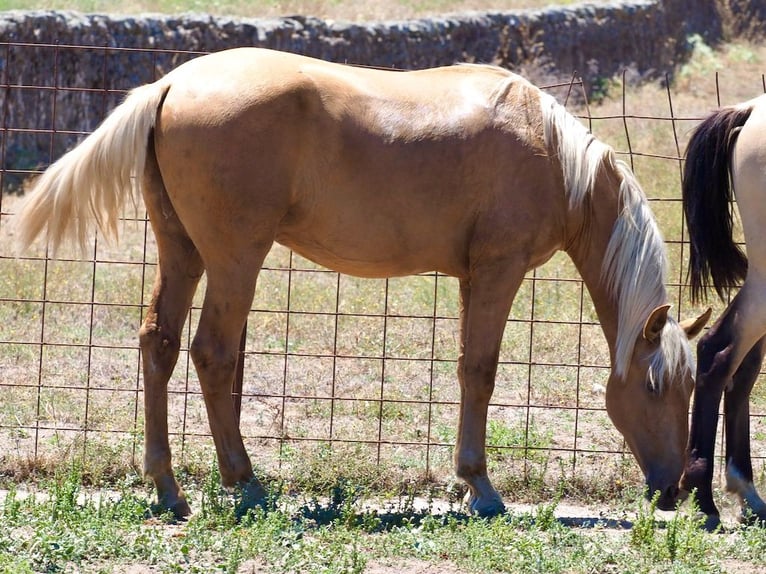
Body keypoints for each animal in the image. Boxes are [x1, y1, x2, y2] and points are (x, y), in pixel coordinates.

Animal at [15, 48, 712, 516]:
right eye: (656, 385)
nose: (673, 489)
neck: (551, 153)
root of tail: (170, 84)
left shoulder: (472, 278)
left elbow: (468, 372)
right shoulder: (499, 269)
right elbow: (480, 370)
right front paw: (481, 488)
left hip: (182, 250)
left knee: (158, 344)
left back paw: (168, 488)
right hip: (236, 256)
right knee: (212, 353)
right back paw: (245, 482)